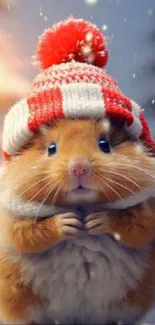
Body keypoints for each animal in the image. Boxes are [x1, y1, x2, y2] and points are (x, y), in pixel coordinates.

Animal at [0, 117, 155, 324]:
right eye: (51, 148)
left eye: (104, 145)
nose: (79, 168)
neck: (81, 204)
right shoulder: (12, 221)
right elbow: (27, 234)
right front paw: (70, 222)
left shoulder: (148, 213)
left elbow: (135, 226)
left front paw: (93, 221)